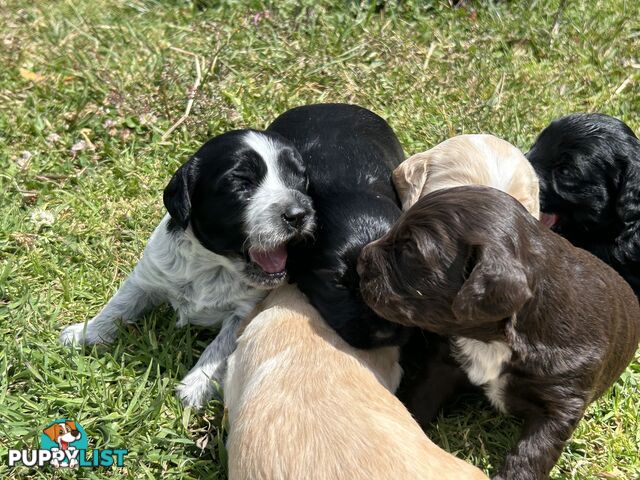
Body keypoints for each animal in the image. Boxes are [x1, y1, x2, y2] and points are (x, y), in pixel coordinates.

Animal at [60, 129, 316, 406]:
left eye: (300, 178)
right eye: (241, 183)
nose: (300, 214)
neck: (214, 266)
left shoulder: (245, 309)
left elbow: (222, 344)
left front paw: (197, 384)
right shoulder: (147, 276)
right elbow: (119, 305)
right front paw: (84, 333)